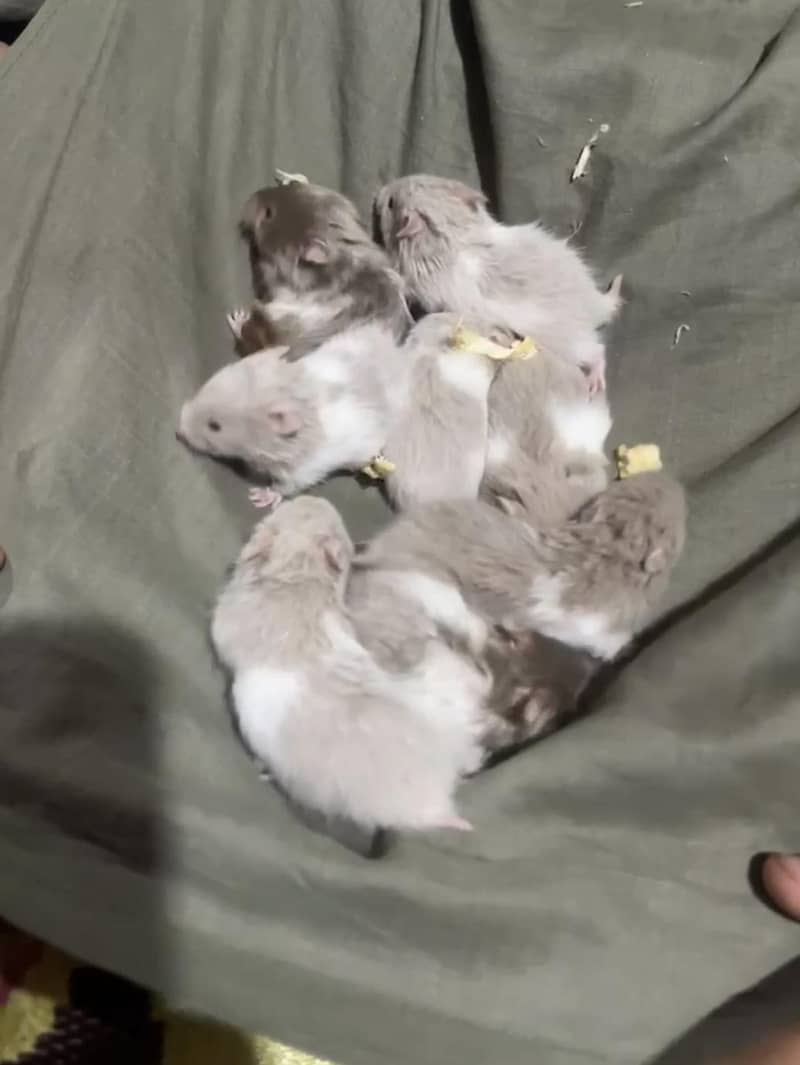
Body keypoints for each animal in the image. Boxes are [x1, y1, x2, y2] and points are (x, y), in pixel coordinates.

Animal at [177, 323, 409, 505]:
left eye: (214, 426)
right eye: (206, 386)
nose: (178, 430)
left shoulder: (302, 470)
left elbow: (288, 485)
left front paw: (266, 494)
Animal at [374, 173, 621, 392]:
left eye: (391, 204)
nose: (380, 192)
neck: (452, 231)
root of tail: (595, 303)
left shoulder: (426, 290)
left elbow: (405, 285)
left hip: (571, 344)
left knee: (597, 352)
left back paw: (595, 381)